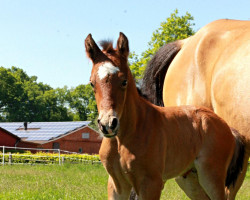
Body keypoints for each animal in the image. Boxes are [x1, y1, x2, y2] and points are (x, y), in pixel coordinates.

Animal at [84, 32, 244, 199]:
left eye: (124, 81)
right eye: (92, 83)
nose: (108, 124)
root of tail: (228, 128)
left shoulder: (151, 183)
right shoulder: (116, 184)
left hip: (211, 176)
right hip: (190, 178)